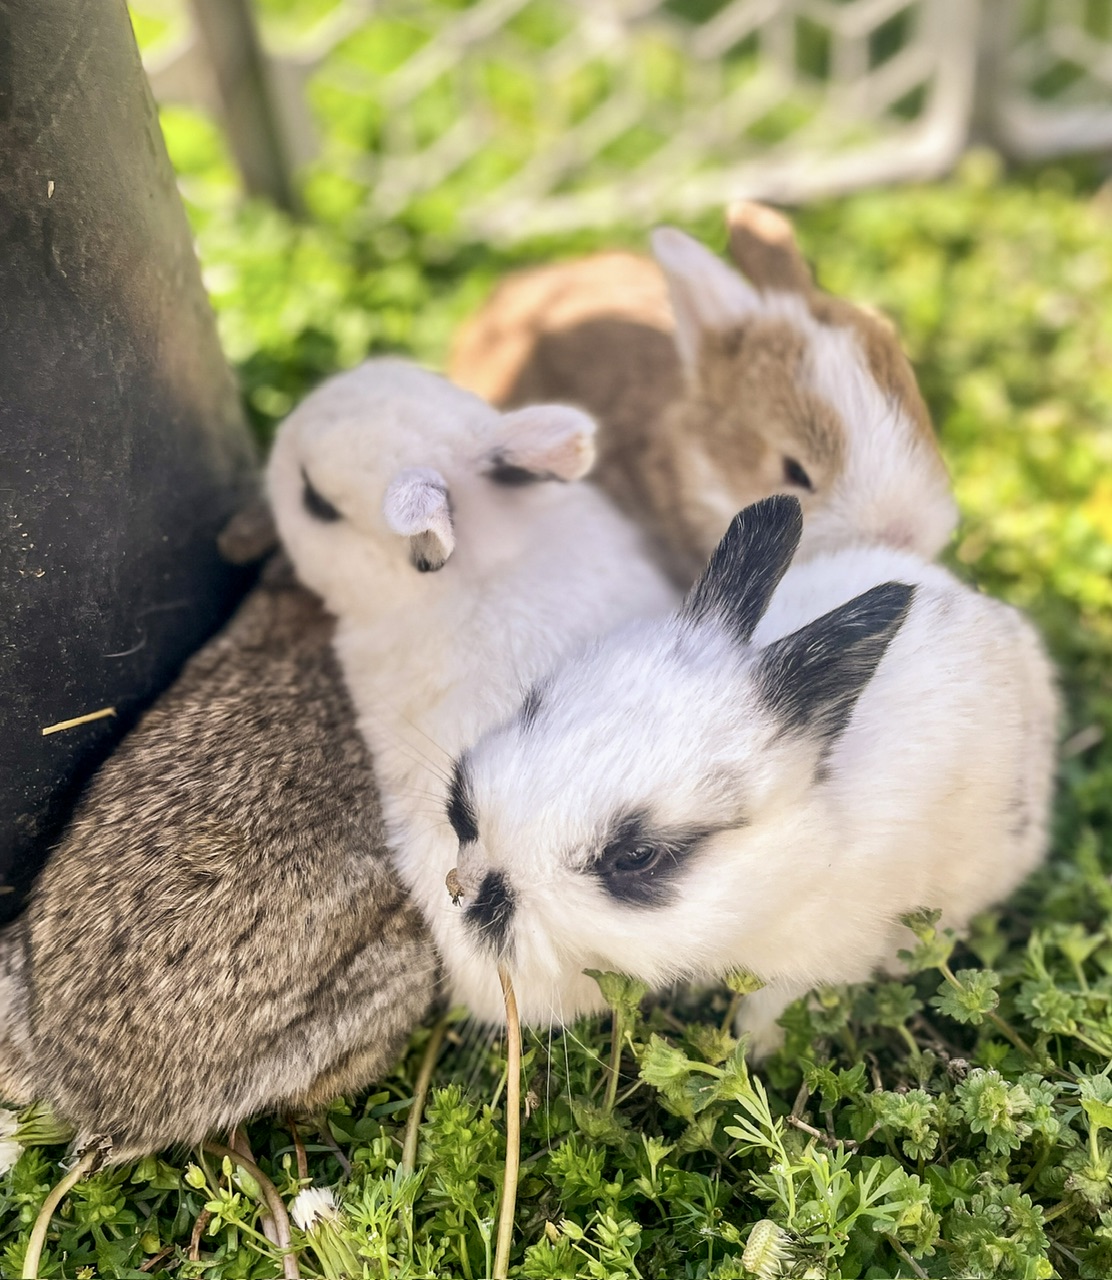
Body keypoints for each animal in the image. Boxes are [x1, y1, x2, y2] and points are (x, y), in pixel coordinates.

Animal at [447, 495, 1058, 1055]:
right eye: (535, 704)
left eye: (637, 857)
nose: (468, 887)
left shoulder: (807, 965)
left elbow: (769, 1013)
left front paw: (752, 1056)